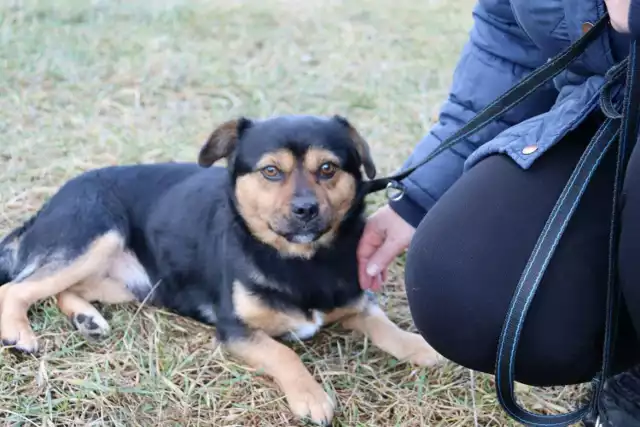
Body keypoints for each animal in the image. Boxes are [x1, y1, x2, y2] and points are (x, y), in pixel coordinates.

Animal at [0, 115, 440, 426]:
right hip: (97, 234)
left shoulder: (355, 302)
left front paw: (422, 346)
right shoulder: (235, 329)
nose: (306, 209)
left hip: (132, 283)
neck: (299, 261)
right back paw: (20, 332)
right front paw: (311, 396)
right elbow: (284, 354)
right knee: (18, 288)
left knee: (58, 287)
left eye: (328, 168)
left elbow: (386, 326)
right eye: (271, 171)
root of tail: (50, 204)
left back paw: (86, 318)